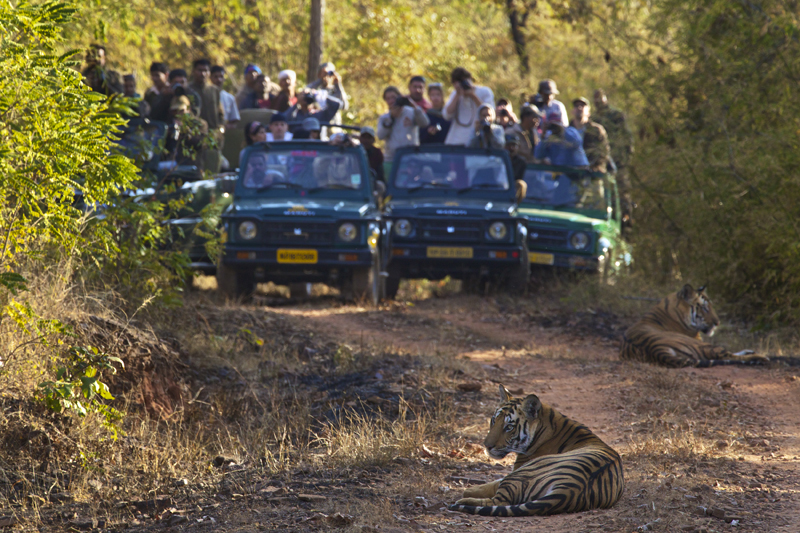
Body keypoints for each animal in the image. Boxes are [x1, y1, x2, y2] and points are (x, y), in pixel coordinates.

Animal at [446, 386, 620, 516]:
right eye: (494, 420)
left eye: (509, 427)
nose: (487, 446)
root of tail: (569, 489)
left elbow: (490, 484)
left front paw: (469, 490)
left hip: (525, 471)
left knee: (498, 501)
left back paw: (461, 502)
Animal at [620, 284, 768, 368]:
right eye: (704, 308)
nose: (717, 323)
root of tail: (655, 349)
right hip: (703, 345)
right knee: (725, 356)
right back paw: (761, 357)